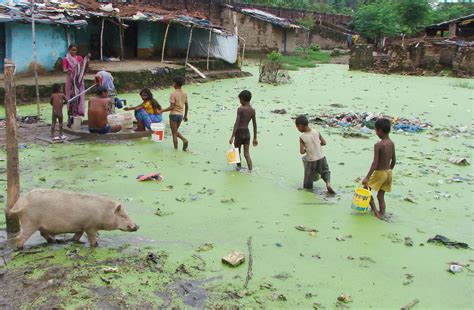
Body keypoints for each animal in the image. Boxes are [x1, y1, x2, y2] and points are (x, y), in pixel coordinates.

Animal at [8, 188, 139, 251]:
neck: (103, 213)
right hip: (29, 222)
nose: (137, 226)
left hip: (39, 225)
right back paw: (20, 249)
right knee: (19, 238)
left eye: (127, 214)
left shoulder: (80, 227)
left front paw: (74, 241)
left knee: (43, 233)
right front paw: (96, 245)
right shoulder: (90, 226)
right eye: (123, 216)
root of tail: (20, 203)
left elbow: (77, 236)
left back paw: (55, 242)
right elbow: (92, 239)